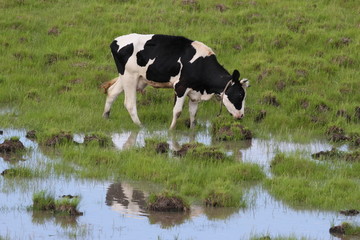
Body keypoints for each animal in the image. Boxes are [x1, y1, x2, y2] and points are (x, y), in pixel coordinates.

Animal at [100, 33, 248, 129]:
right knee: (129, 103)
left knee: (112, 92)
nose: (241, 115)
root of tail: (115, 41)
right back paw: (140, 126)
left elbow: (193, 113)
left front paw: (192, 130)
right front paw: (171, 131)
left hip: (130, 77)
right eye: (239, 95)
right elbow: (177, 111)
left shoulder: (195, 93)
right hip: (130, 76)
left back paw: (106, 117)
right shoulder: (180, 87)